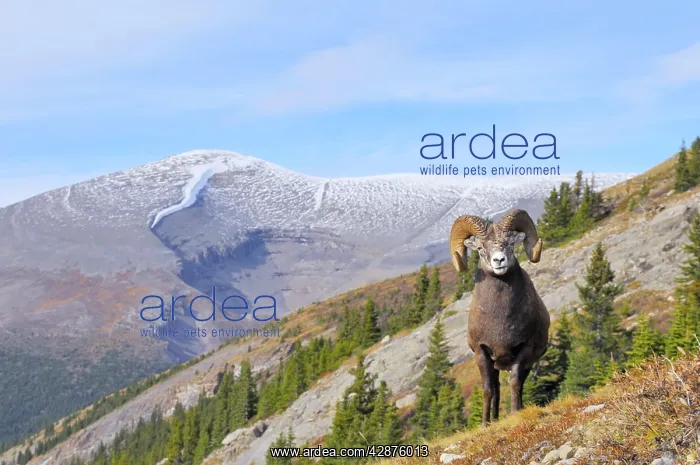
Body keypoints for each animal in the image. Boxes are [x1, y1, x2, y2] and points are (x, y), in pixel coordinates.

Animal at [449, 209, 550, 426]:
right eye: (480, 247)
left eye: (510, 243)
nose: (499, 261)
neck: (500, 320)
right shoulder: (482, 353)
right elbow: (488, 390)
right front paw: (485, 424)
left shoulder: (523, 350)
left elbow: (515, 383)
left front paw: (515, 413)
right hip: (495, 365)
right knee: (495, 388)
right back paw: (494, 419)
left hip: (526, 364)